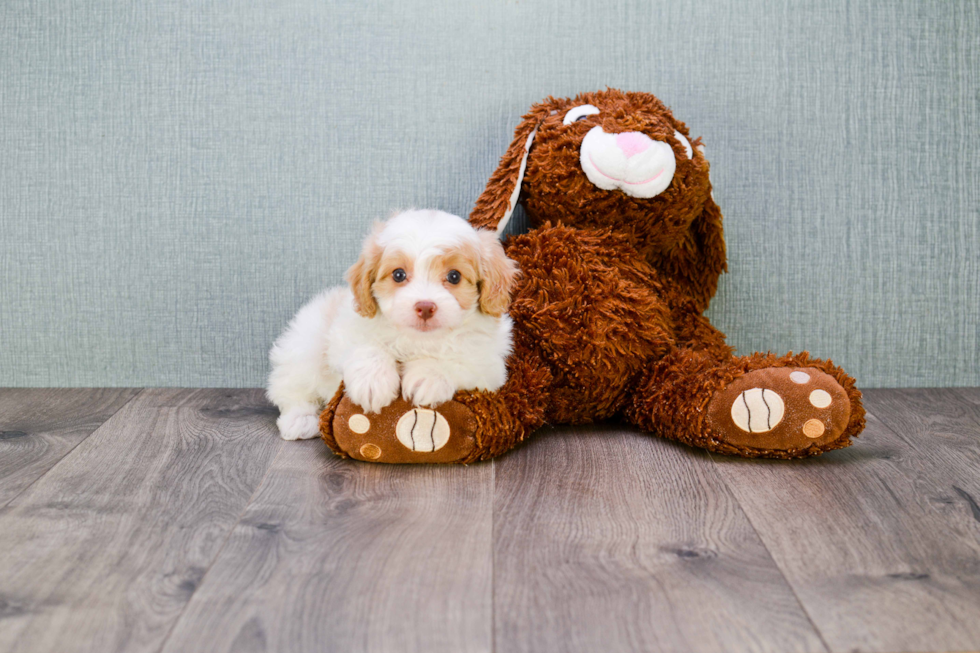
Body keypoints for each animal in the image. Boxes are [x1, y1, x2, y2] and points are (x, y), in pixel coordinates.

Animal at [264, 211, 516, 440]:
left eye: (454, 276)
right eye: (398, 274)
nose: (425, 307)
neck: (419, 340)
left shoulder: (489, 365)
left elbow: (459, 359)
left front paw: (428, 376)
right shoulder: (345, 331)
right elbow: (367, 346)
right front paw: (372, 382)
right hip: (304, 347)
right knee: (290, 390)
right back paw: (300, 420)